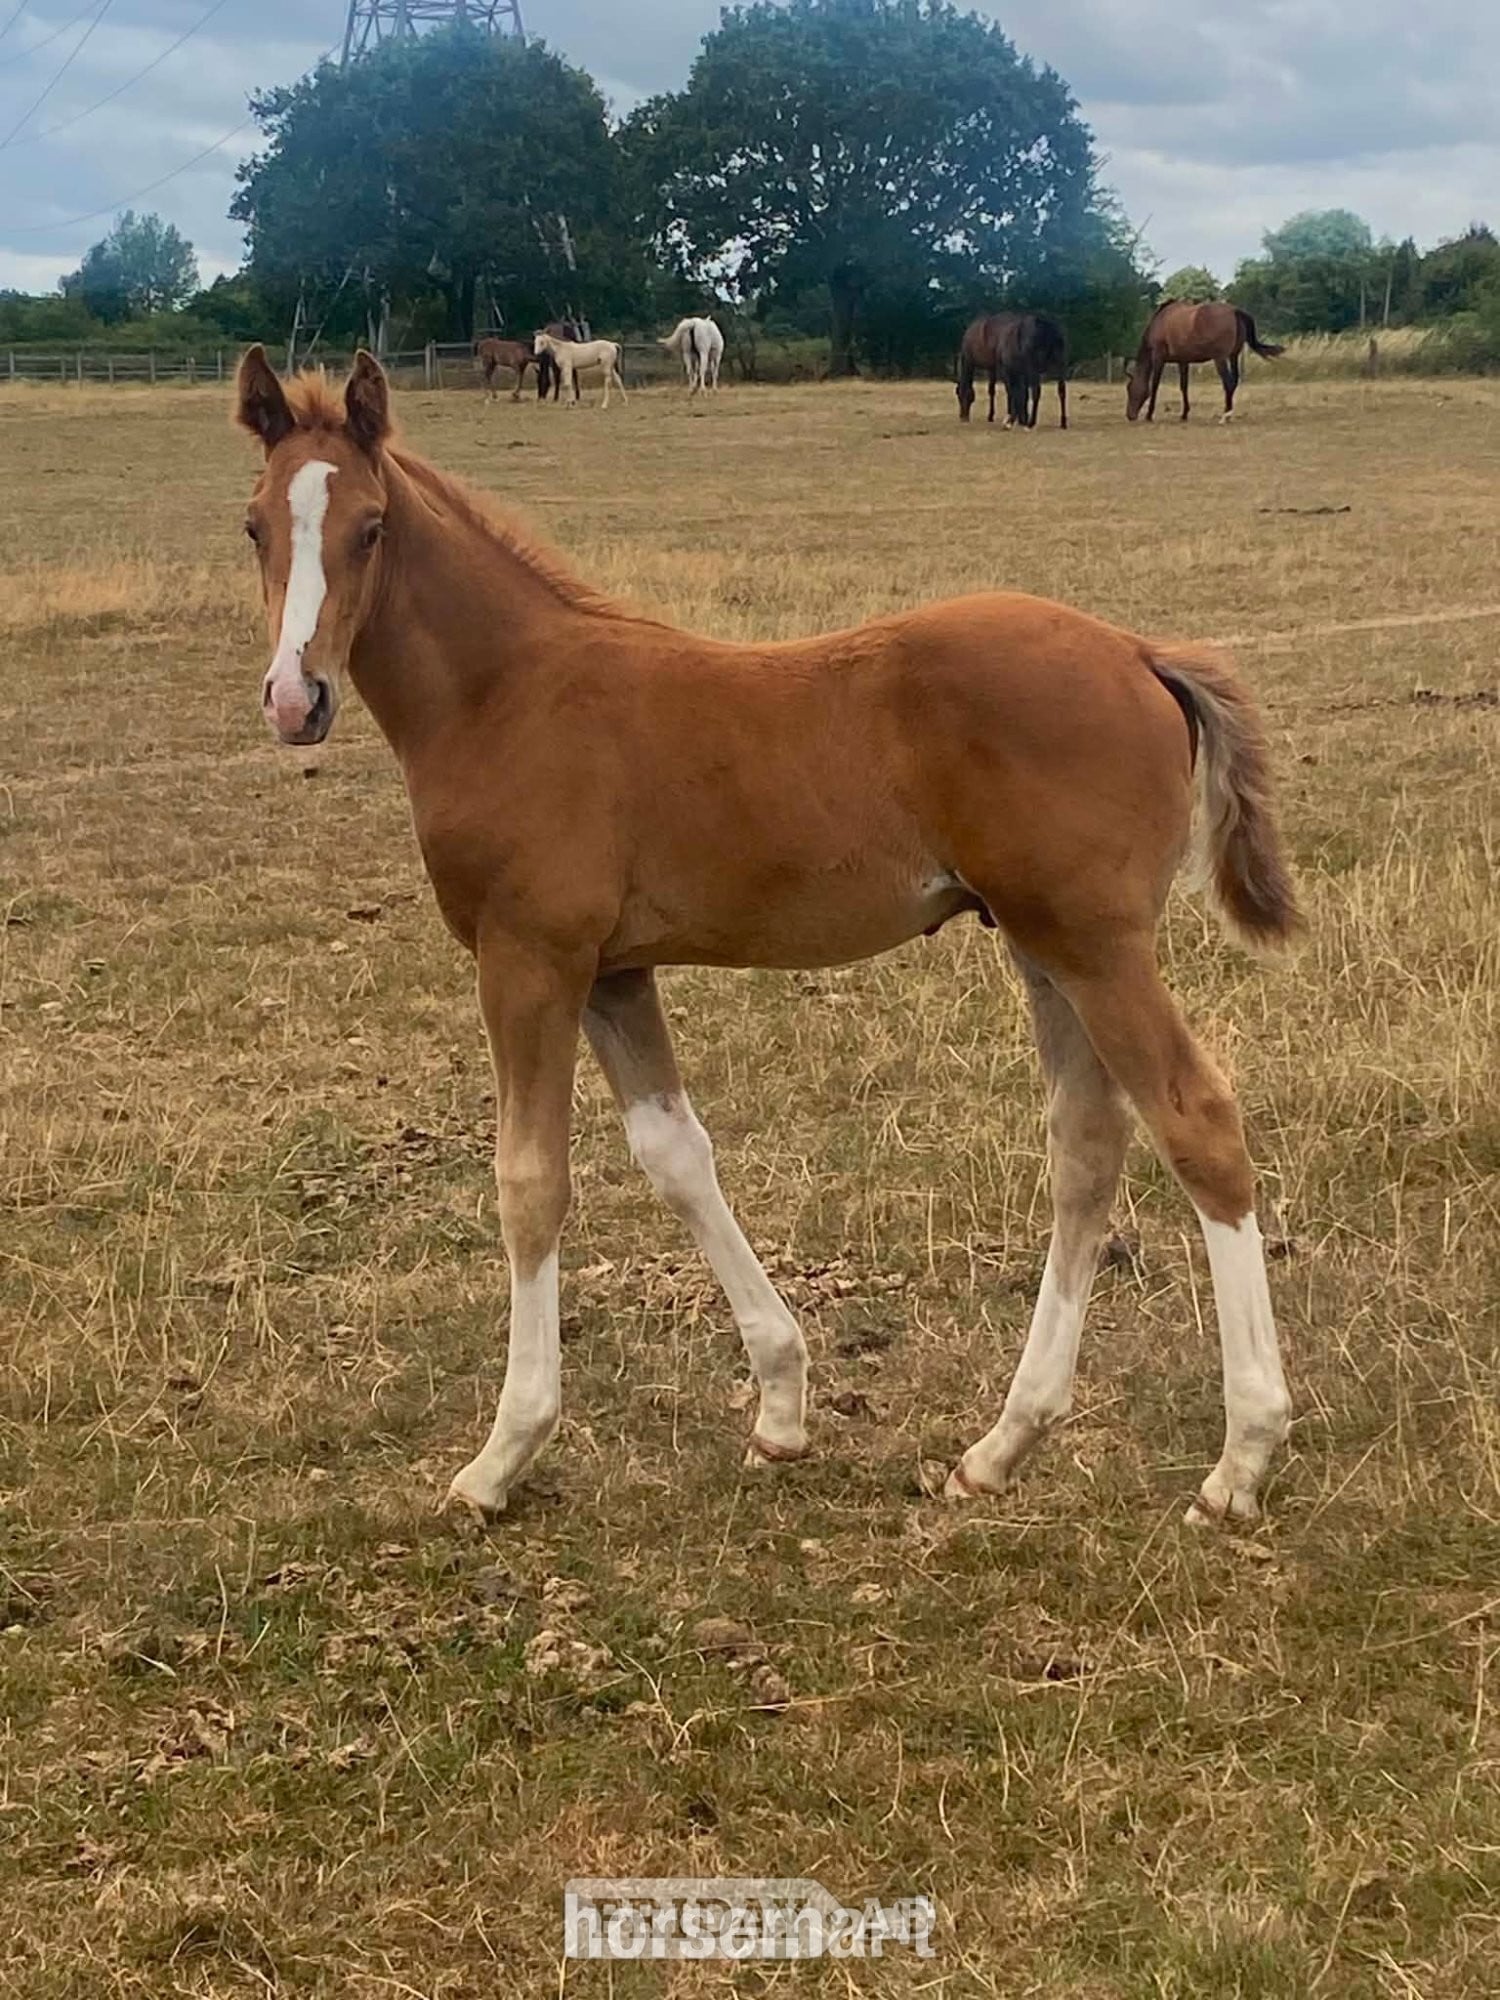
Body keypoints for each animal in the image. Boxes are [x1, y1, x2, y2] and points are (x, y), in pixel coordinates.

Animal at [236, 345, 1300, 1533]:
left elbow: (530, 1182)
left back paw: (1241, 1459)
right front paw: (783, 1404)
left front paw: (502, 1454)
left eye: (371, 526)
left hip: (1098, 943)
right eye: (254, 524)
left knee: (1196, 1119)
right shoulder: (614, 972)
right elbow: (677, 1156)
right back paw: (1002, 1444)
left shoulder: (529, 959)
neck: (505, 693)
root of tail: (1139, 649)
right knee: (1087, 1144)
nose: (294, 698)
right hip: (1043, 943)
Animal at [1126, 301, 1284, 423]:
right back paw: (1228, 414)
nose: (1130, 416)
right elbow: (1184, 386)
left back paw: (1225, 416)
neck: (1160, 322)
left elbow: (1155, 386)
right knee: (1234, 382)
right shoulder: (1183, 361)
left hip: (1220, 359)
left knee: (1228, 383)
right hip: (1233, 356)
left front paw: (1149, 415)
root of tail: (1234, 311)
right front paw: (1184, 414)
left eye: (1129, 389)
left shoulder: (1159, 358)